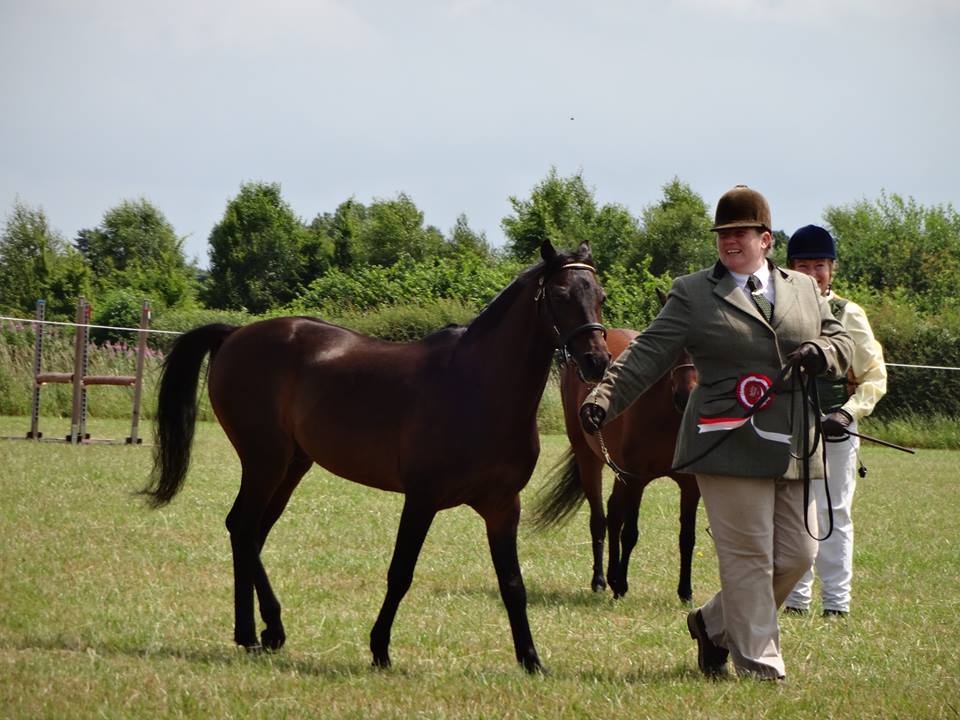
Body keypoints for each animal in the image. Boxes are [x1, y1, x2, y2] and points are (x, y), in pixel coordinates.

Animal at [141, 240, 610, 673]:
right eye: (560, 295)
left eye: (600, 295)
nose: (597, 361)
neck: (479, 388)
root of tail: (235, 335)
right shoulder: (422, 499)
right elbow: (400, 572)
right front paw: (380, 649)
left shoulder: (502, 506)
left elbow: (512, 584)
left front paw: (531, 660)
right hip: (264, 461)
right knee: (242, 527)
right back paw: (264, 630)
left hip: (291, 466)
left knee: (251, 533)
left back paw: (256, 634)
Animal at [531, 300, 699, 602]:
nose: (685, 396)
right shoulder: (636, 480)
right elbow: (630, 533)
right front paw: (621, 584)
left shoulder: (690, 486)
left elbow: (687, 537)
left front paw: (685, 592)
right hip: (590, 460)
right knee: (600, 519)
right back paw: (601, 580)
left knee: (612, 513)